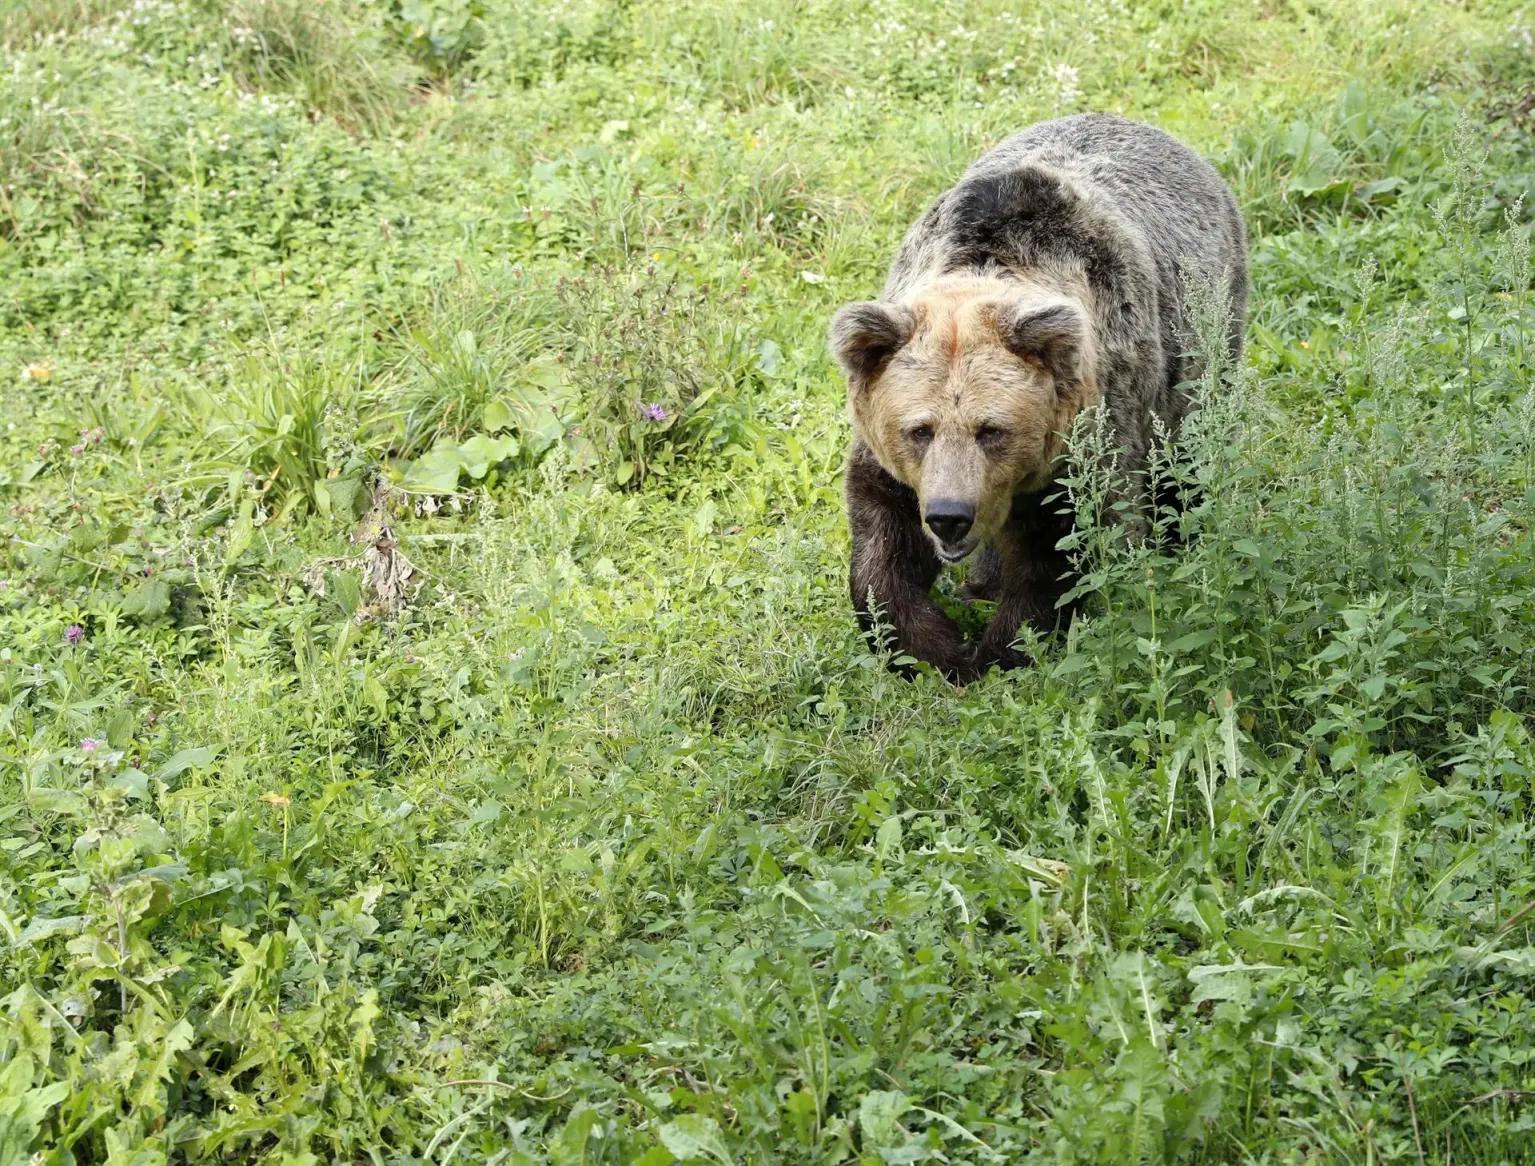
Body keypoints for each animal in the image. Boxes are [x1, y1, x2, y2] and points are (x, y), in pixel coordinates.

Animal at [828, 113, 1246, 678]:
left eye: (992, 430)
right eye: (919, 430)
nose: (949, 516)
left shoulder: (1095, 421)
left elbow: (1067, 546)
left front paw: (1003, 649)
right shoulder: (890, 456)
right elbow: (883, 546)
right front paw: (934, 649)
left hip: (1203, 342)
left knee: (1186, 453)